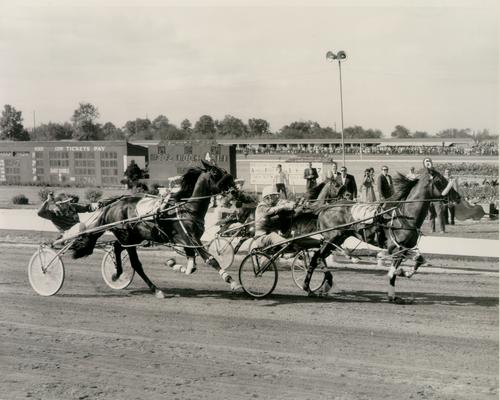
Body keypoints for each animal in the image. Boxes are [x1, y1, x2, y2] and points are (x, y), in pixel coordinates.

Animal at [70, 159, 240, 296]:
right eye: (215, 172)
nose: (234, 188)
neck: (187, 209)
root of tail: (112, 206)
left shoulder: (188, 241)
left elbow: (191, 266)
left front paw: (174, 265)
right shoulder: (190, 238)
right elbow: (211, 260)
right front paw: (232, 281)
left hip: (133, 237)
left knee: (117, 247)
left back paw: (117, 274)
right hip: (127, 237)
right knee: (135, 263)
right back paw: (156, 289)